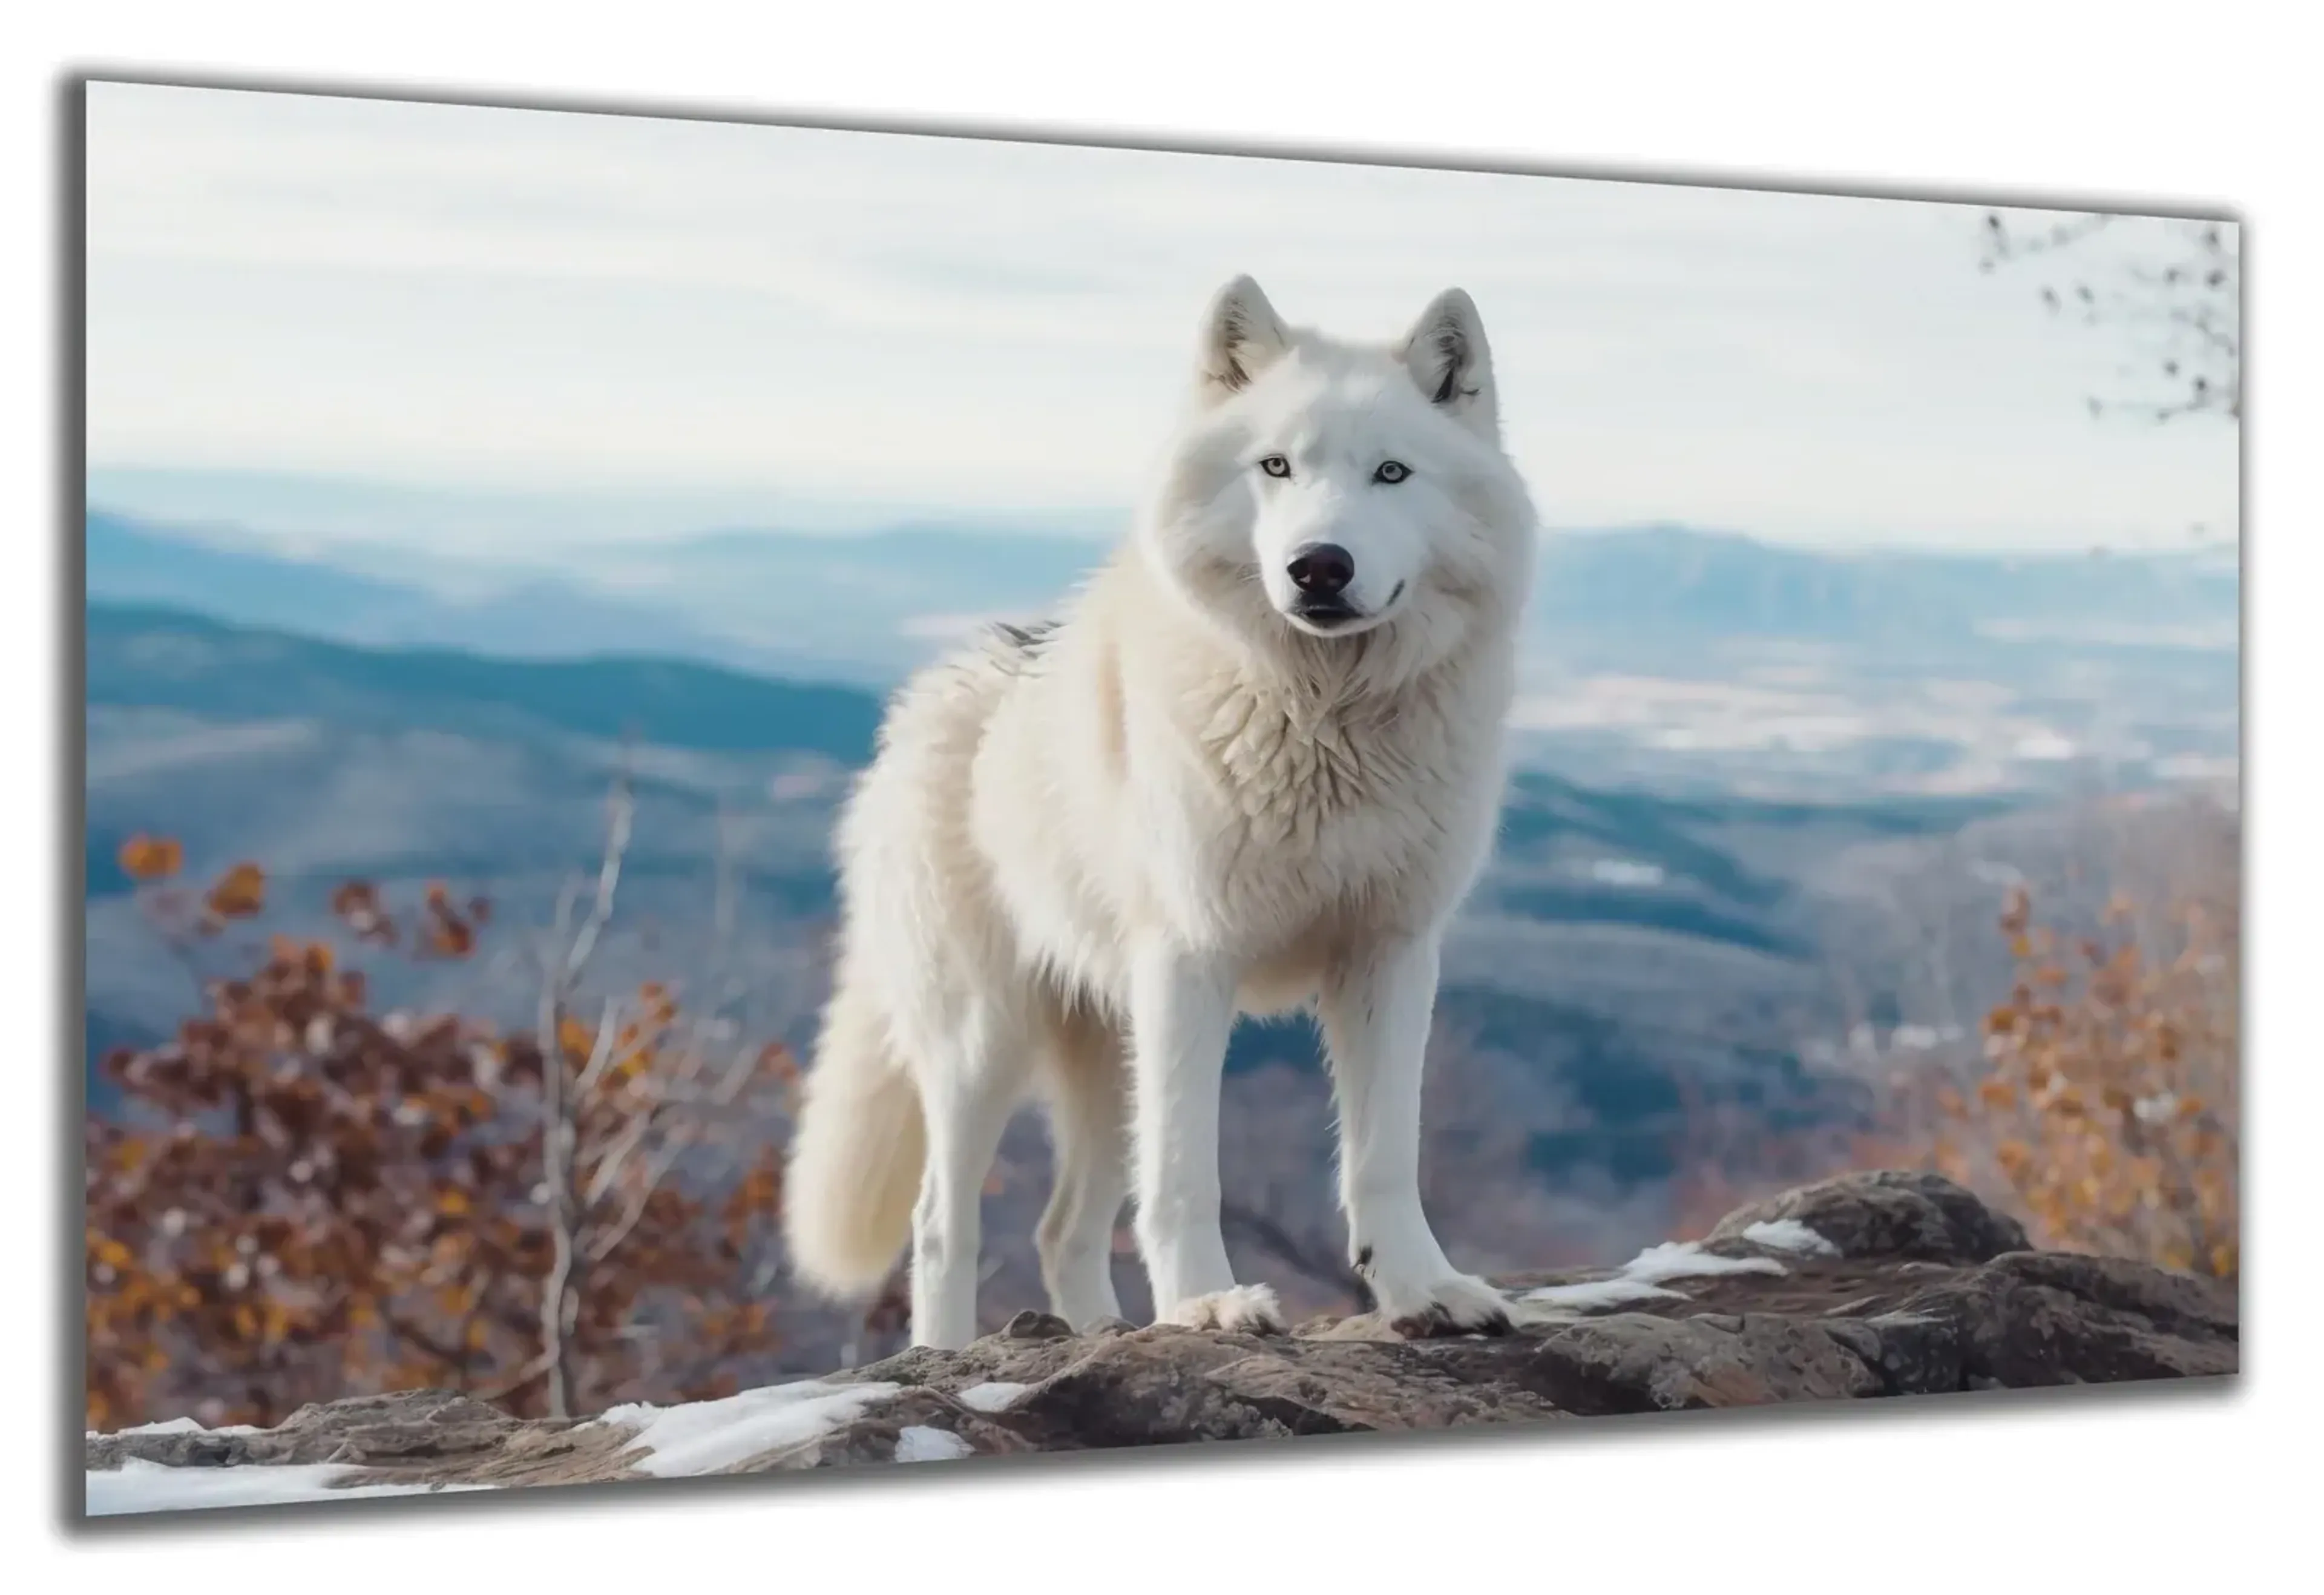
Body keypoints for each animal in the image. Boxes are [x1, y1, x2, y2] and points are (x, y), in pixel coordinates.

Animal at [782, 275, 1540, 1350]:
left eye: (1393, 473)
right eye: (1276, 466)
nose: (1319, 565)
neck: (1325, 721)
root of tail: (937, 687)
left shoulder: (1391, 954)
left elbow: (1385, 1155)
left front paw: (1422, 1290)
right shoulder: (1193, 959)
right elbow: (1187, 1172)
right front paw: (1206, 1304)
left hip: (1106, 1055)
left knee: (1062, 1228)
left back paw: (1102, 1330)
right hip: (984, 1046)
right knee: (941, 1224)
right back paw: (947, 1350)